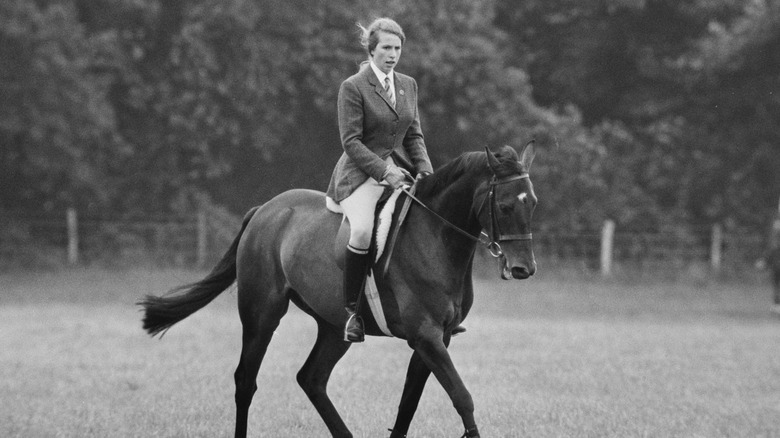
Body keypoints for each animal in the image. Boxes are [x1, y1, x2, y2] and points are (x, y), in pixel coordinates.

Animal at [139, 142, 536, 436]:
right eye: (504, 205)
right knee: (245, 381)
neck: (434, 236)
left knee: (311, 379)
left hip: (333, 327)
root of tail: (265, 210)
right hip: (261, 315)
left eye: (532, 202)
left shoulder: (439, 337)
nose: (524, 269)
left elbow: (409, 403)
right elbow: (462, 396)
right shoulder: (425, 336)